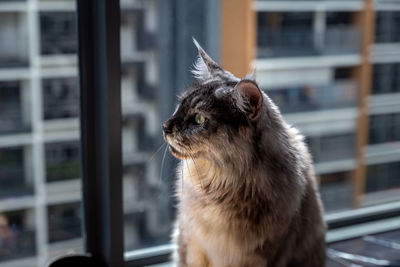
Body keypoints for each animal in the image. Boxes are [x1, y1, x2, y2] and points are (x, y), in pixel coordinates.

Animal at [162, 38, 324, 266]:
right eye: (179, 106)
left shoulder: (266, 252)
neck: (223, 186)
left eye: (199, 119)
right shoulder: (191, 241)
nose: (165, 127)